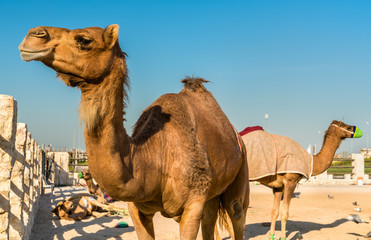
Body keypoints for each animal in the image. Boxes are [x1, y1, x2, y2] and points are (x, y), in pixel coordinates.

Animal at [18, 24, 250, 240]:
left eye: (84, 40)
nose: (33, 34)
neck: (154, 159)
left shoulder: (191, 207)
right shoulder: (137, 209)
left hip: (241, 166)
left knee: (236, 211)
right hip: (212, 191)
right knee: (210, 217)